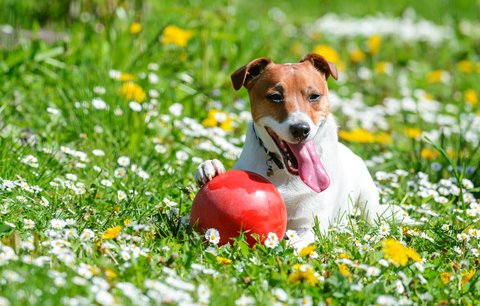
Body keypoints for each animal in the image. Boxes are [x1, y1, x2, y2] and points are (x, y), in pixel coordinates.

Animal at [193, 52, 406, 249]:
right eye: (275, 97)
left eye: (314, 96)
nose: (301, 129)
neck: (285, 173)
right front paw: (210, 167)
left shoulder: (309, 226)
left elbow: (294, 242)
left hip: (367, 200)